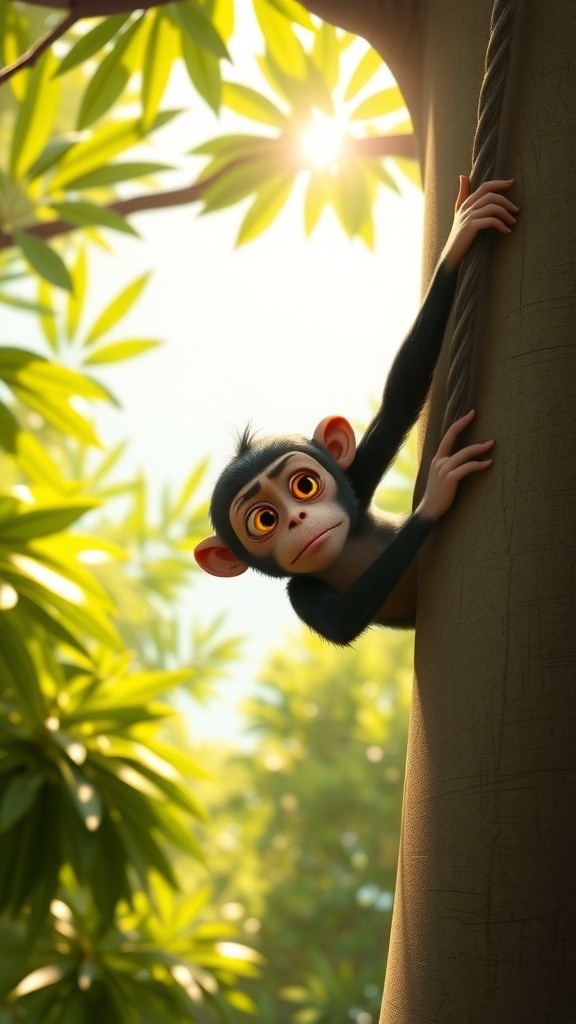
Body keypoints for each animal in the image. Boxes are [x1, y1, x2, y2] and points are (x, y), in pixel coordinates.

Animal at [195, 176, 519, 645]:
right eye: (265, 520)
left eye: (305, 486)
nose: (297, 520)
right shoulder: (300, 594)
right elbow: (343, 619)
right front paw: (437, 493)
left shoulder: (359, 482)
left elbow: (401, 398)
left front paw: (460, 237)